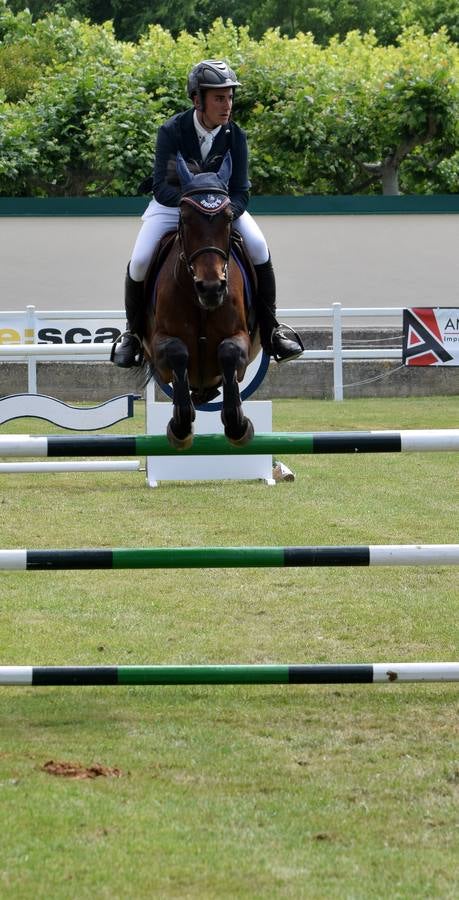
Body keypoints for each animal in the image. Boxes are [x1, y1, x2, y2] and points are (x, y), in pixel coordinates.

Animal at [142, 155, 260, 454]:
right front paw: (180, 427)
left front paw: (238, 425)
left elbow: (228, 352)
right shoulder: (158, 343)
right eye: (185, 217)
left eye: (228, 217)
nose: (211, 288)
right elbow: (177, 352)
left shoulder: (241, 337)